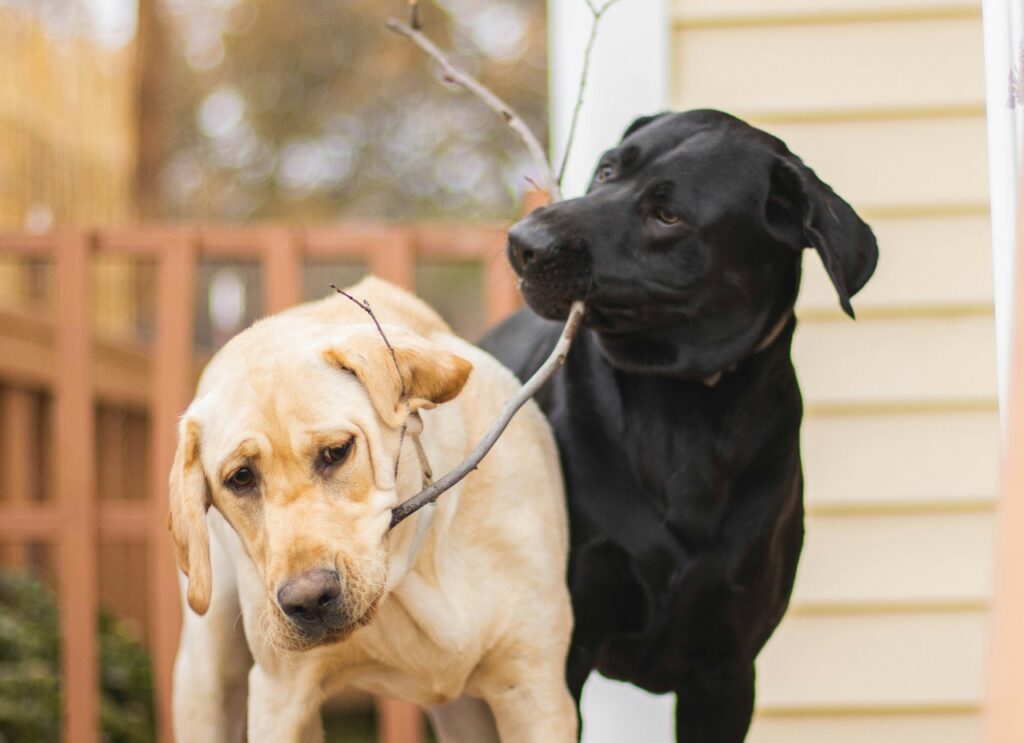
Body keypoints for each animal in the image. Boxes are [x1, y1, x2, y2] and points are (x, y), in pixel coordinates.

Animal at [167, 278, 577, 743]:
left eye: (336, 451)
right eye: (240, 477)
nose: (308, 600)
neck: (412, 572)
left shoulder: (534, 689)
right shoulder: (280, 698)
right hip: (208, 676)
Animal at [483, 110, 876, 743]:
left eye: (668, 216)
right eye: (607, 170)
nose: (524, 243)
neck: (679, 412)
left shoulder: (725, 673)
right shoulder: (560, 658)